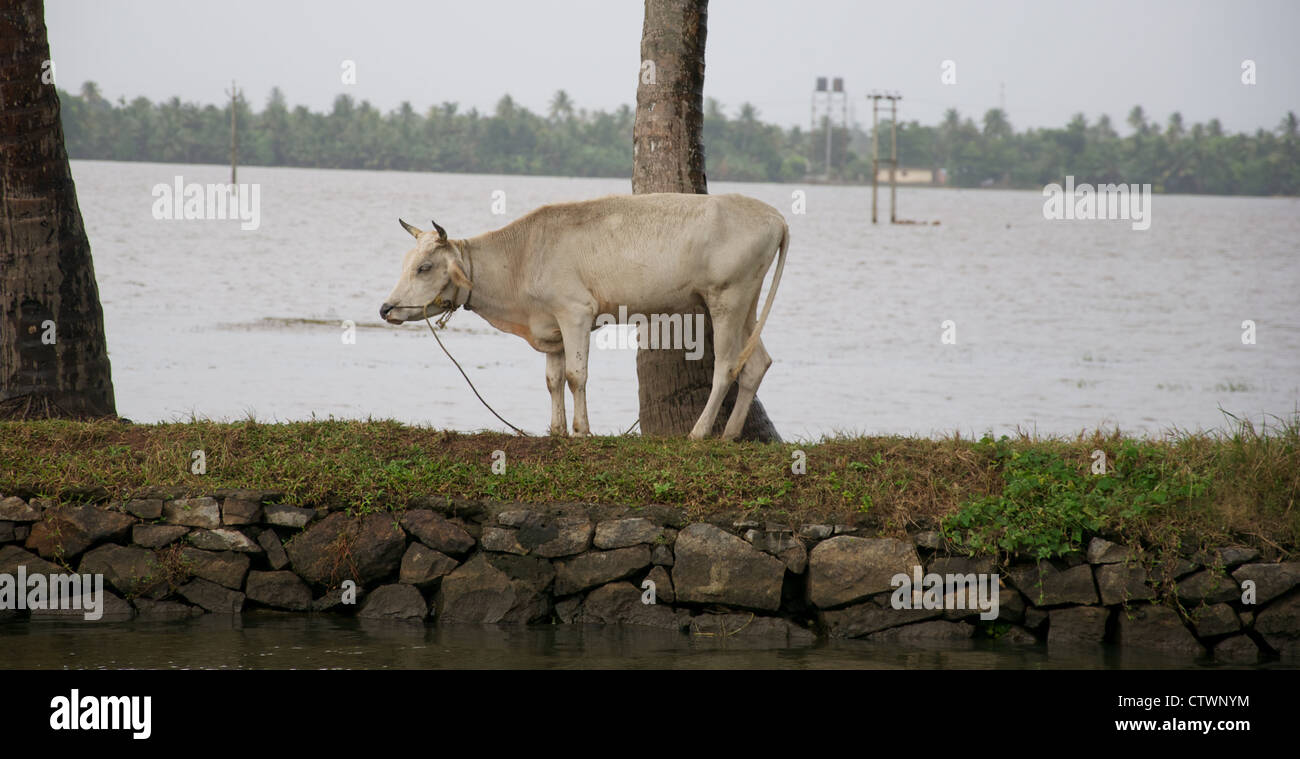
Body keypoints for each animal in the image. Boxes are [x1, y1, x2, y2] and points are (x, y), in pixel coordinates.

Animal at [380, 192, 788, 441]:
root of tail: (774, 216)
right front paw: (556, 430)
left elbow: (576, 376)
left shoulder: (575, 312)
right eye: (406, 262)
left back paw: (699, 433)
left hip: (727, 298)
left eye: (424, 267)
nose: (385, 308)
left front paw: (582, 431)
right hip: (746, 302)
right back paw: (730, 434)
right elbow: (553, 379)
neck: (522, 257)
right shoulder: (551, 324)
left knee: (726, 365)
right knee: (757, 363)